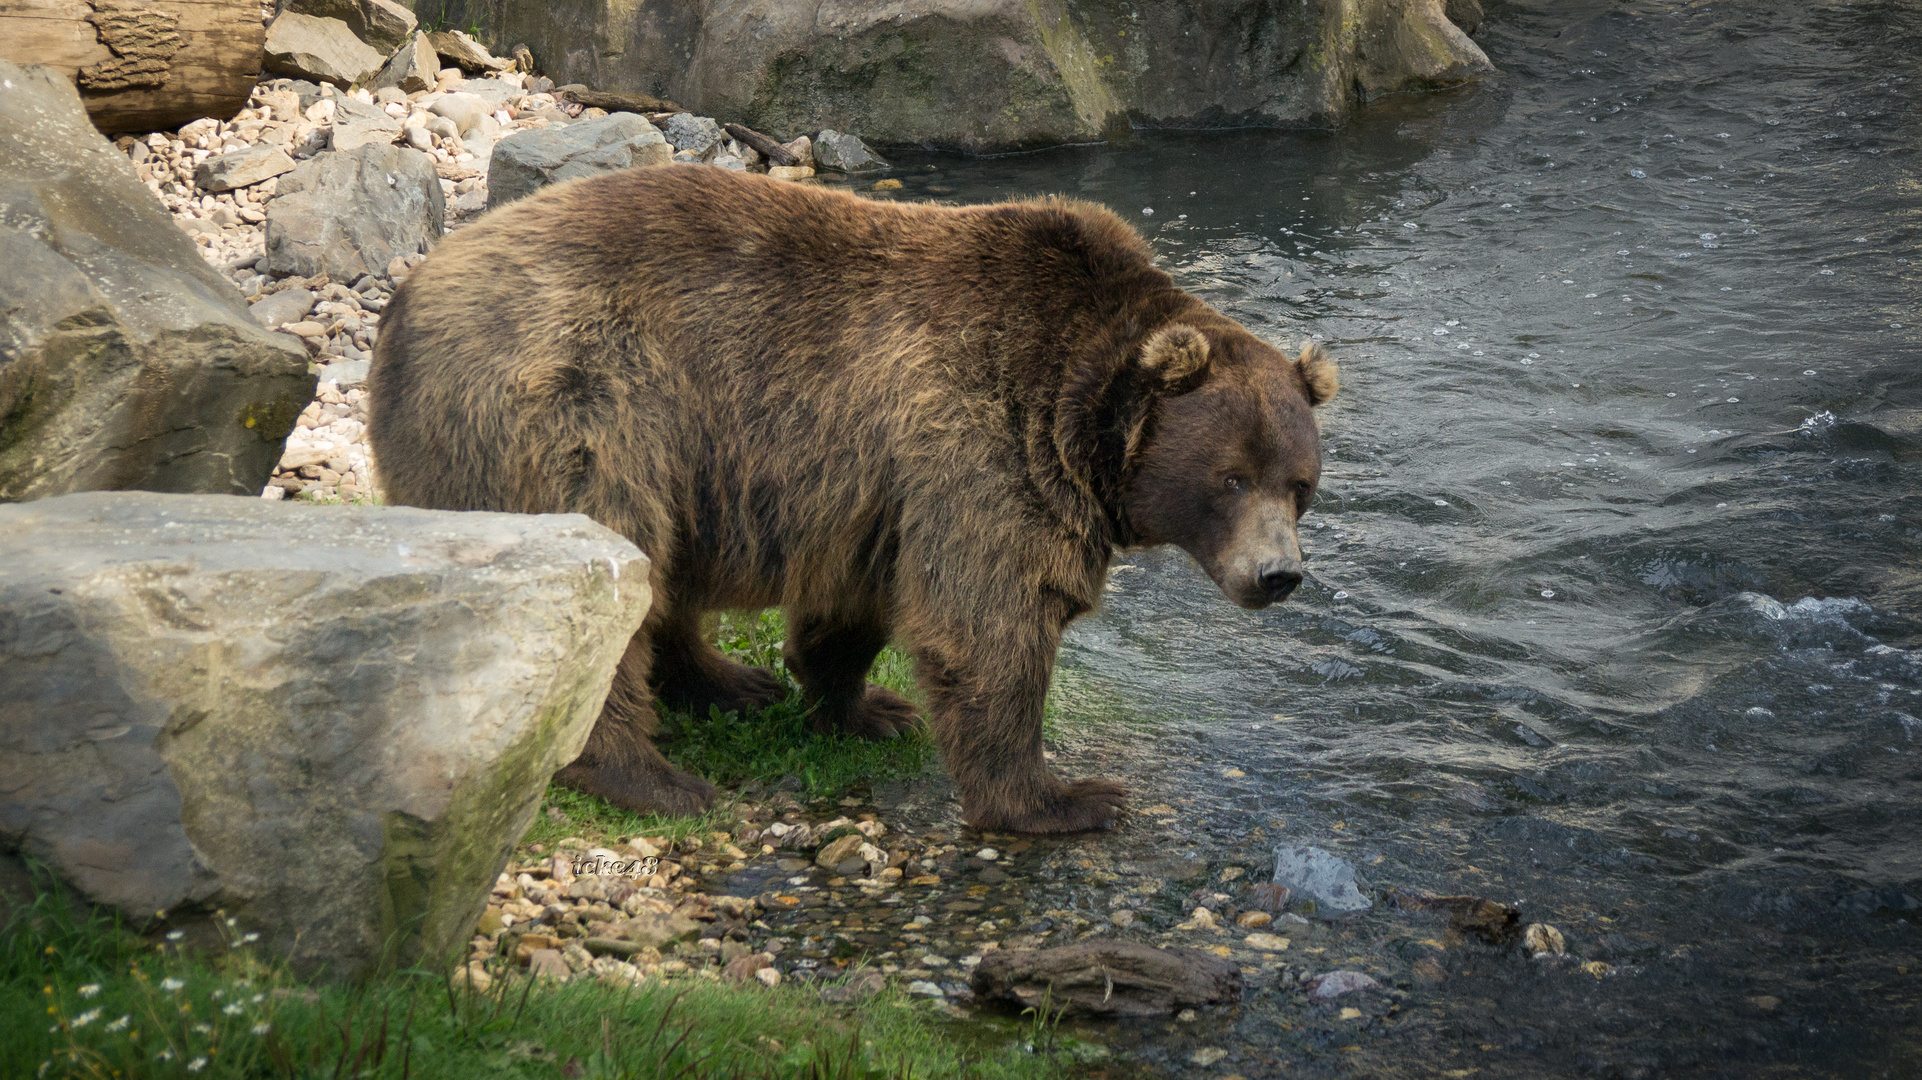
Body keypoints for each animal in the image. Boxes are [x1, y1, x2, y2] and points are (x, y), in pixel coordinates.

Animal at [370, 164, 1337, 834]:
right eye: (1230, 477)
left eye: (1301, 485)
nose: (1278, 575)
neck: (1077, 416)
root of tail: (408, 298)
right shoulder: (982, 450)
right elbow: (988, 622)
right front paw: (1067, 796)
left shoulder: (875, 485)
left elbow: (862, 604)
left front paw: (868, 706)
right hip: (583, 404)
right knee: (609, 576)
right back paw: (654, 777)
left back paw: (730, 681)